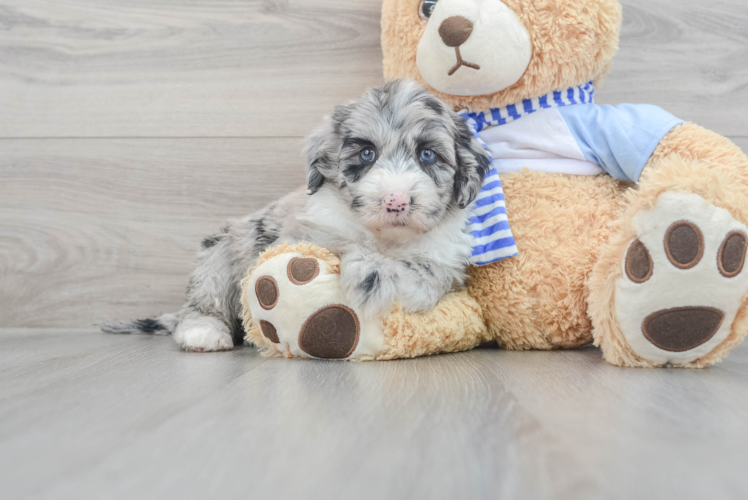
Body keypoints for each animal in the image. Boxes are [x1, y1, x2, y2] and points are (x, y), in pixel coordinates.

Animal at [105, 79, 490, 352]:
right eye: (366, 153)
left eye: (428, 155)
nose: (395, 201)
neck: (386, 239)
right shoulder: (305, 232)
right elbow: (339, 243)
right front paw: (372, 270)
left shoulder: (447, 260)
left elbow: (428, 269)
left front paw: (384, 276)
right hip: (219, 252)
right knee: (202, 300)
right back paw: (204, 332)